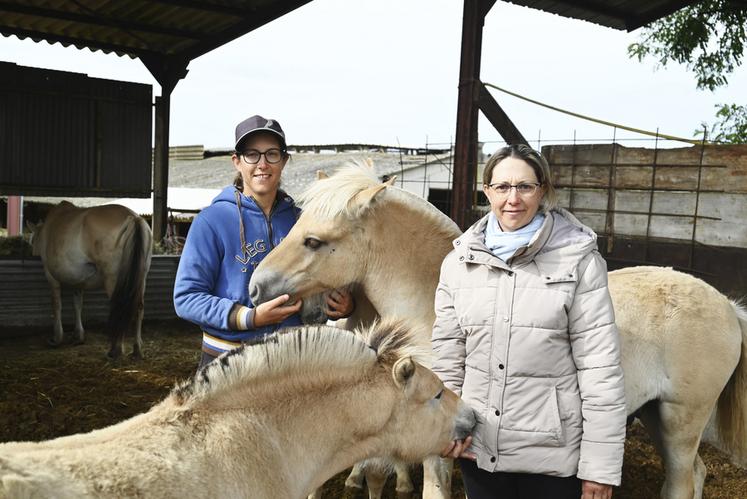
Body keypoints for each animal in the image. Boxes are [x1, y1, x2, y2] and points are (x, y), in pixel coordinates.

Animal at [30, 200, 153, 360]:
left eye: (32, 240)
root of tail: (134, 218)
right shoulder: (77, 282)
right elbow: (77, 305)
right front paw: (78, 336)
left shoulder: (51, 278)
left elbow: (56, 305)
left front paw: (57, 338)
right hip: (140, 279)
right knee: (138, 308)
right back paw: (137, 349)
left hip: (113, 280)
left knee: (121, 307)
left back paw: (116, 350)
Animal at [253, 164, 747, 499]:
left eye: (314, 240)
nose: (257, 287)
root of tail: (727, 306)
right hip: (654, 415)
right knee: (696, 474)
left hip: (681, 420)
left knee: (681, 480)